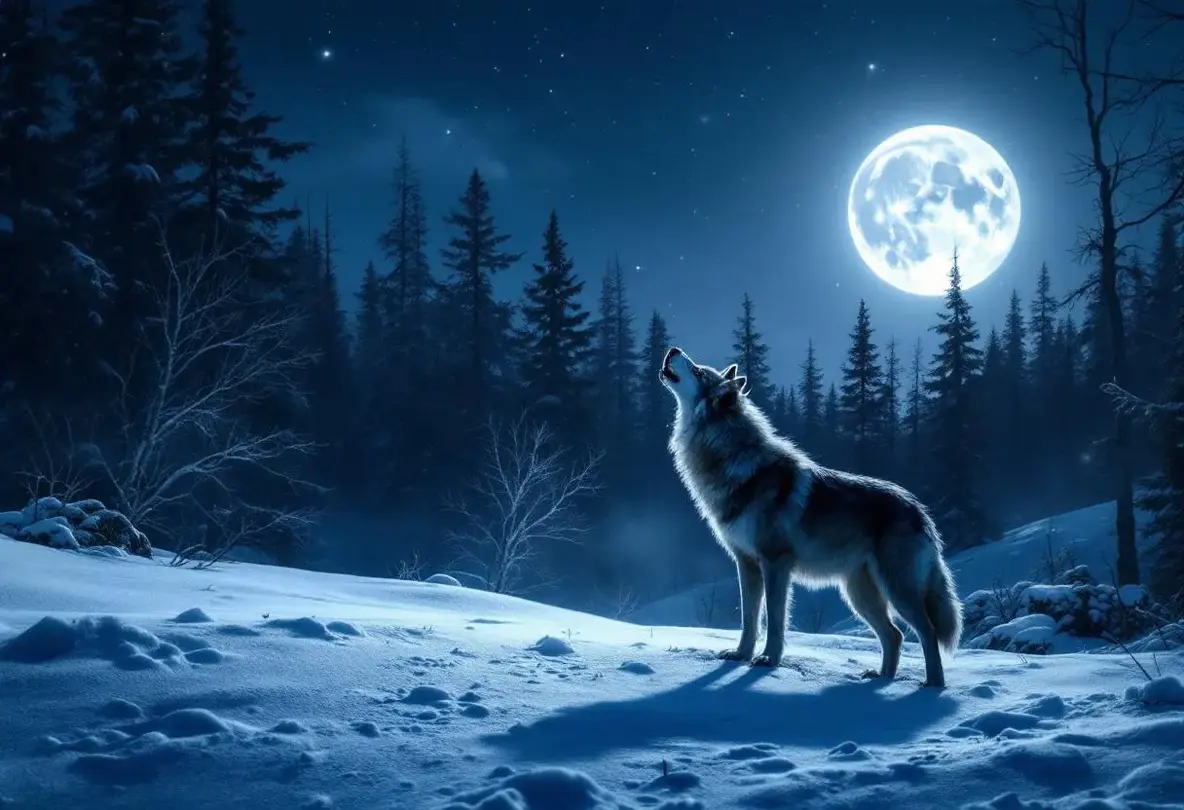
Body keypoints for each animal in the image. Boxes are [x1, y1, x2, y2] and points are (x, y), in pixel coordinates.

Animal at [660, 346, 962, 687]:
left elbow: (775, 620)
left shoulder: (775, 564)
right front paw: (740, 655)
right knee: (894, 635)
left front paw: (768, 660)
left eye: (698, 371)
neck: (733, 459)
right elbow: (749, 619)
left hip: (897, 591)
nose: (673, 349)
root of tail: (920, 510)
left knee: (927, 633)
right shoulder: (746, 563)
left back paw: (932, 686)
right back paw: (880, 679)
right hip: (858, 594)